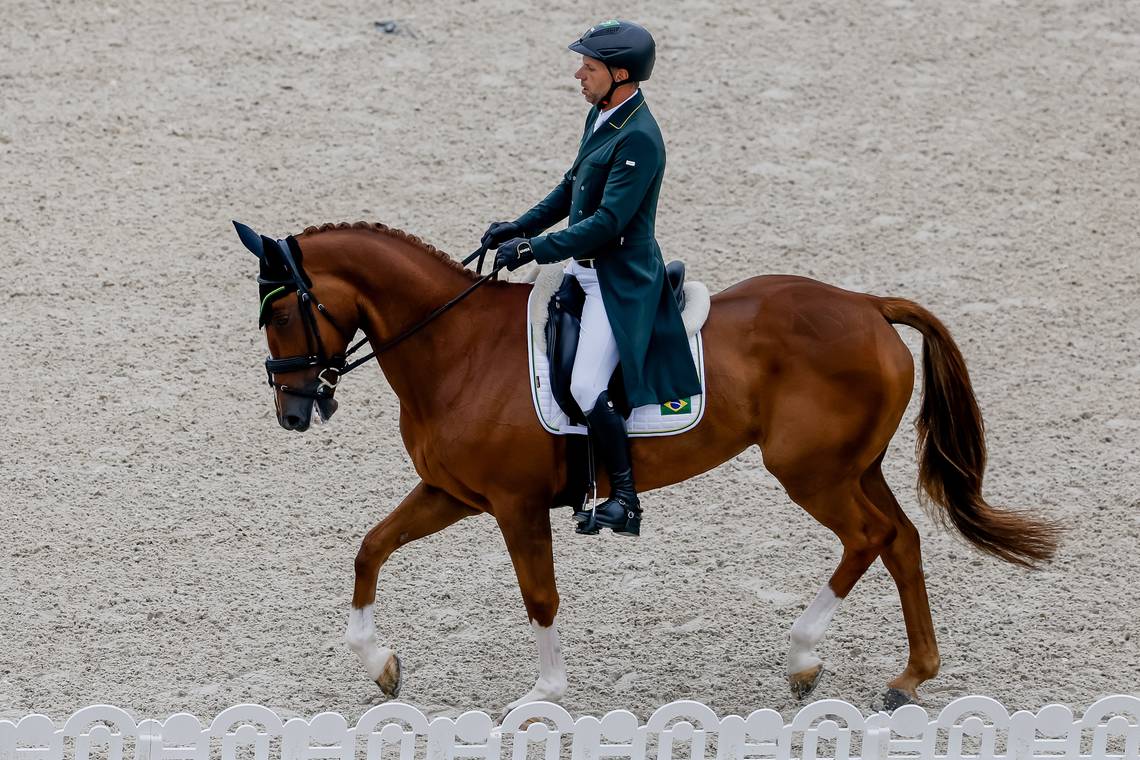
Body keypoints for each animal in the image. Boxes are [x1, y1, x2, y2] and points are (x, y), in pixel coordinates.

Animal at [235, 220, 1060, 712]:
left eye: (283, 312)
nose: (291, 411)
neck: (455, 349)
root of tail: (865, 304)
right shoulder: (451, 493)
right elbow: (370, 548)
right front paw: (378, 663)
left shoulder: (514, 503)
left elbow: (539, 594)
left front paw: (545, 692)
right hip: (854, 467)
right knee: (902, 543)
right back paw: (909, 676)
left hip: (812, 473)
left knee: (868, 540)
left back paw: (803, 658)